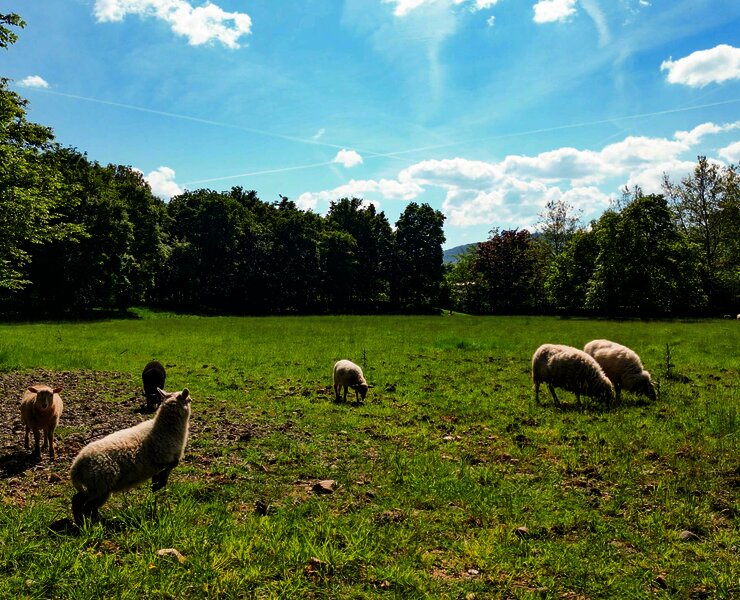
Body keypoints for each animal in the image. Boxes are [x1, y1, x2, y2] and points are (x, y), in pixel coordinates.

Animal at [70, 388, 192, 525]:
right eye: (189, 400)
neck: (165, 428)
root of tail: (77, 465)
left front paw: (155, 483)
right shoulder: (163, 457)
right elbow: (172, 465)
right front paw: (159, 484)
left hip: (98, 487)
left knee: (86, 504)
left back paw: (90, 522)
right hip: (100, 484)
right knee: (83, 503)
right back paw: (88, 523)